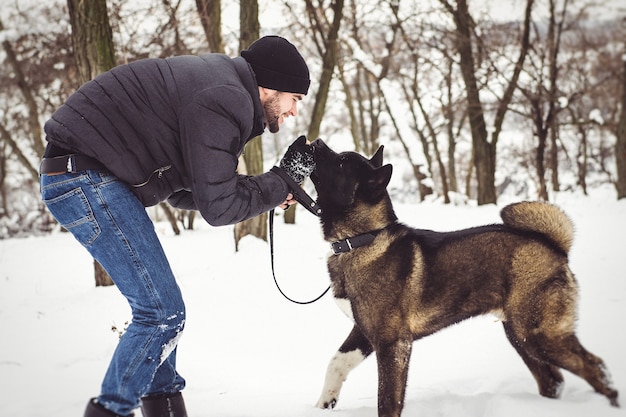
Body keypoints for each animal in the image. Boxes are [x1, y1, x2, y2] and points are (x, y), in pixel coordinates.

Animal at [306, 140, 616, 416]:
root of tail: (554, 246)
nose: (316, 141)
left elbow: (388, 400)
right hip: (521, 336)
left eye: (341, 162)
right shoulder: (364, 331)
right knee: (553, 381)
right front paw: (324, 404)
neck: (360, 240)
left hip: (541, 334)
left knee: (595, 367)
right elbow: (336, 363)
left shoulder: (392, 343)